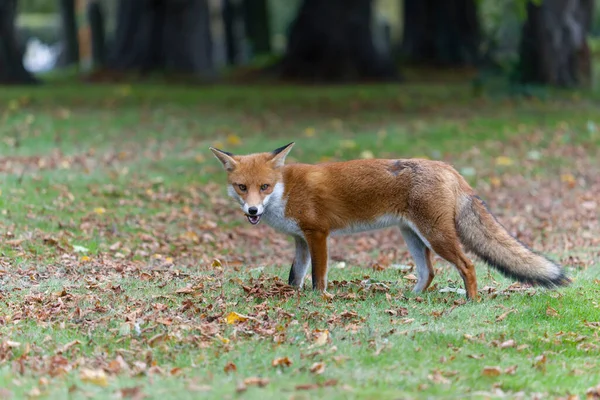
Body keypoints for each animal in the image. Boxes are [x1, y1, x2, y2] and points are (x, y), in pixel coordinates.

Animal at [209, 142, 568, 298]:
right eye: (242, 187)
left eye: (264, 187)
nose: (253, 211)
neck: (286, 190)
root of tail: (447, 167)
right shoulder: (300, 240)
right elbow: (295, 276)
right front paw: (292, 297)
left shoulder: (318, 234)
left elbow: (318, 277)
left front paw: (318, 301)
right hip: (412, 235)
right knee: (428, 272)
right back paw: (412, 298)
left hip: (435, 235)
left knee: (467, 265)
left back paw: (471, 301)